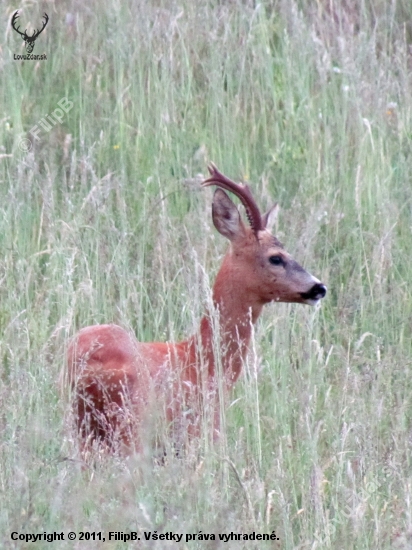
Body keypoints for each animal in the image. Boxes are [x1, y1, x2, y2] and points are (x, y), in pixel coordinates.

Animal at [66, 165, 326, 458]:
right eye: (276, 257)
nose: (319, 287)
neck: (204, 360)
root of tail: (89, 363)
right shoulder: (201, 434)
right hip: (131, 426)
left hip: (82, 427)